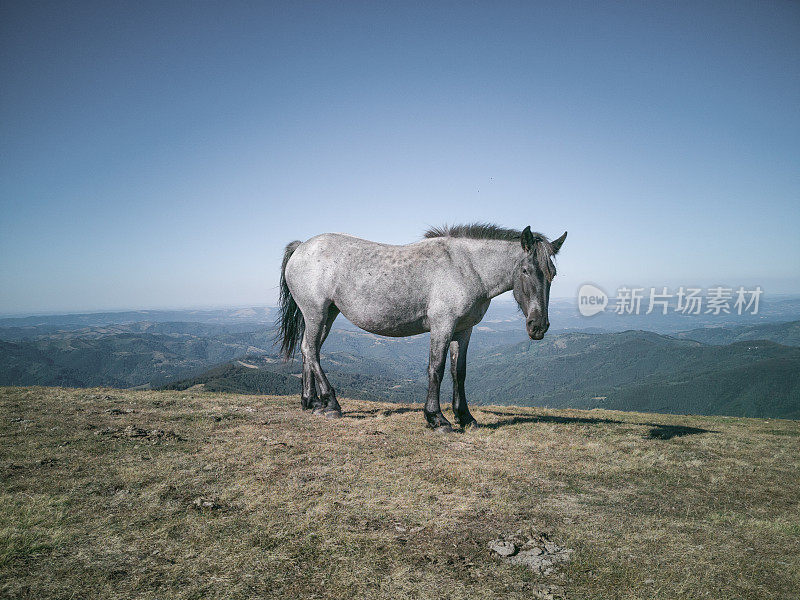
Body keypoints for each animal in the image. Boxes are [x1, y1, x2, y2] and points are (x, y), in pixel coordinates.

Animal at [278, 221, 564, 432]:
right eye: (526, 270)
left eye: (553, 273)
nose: (539, 326)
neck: (467, 266)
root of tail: (301, 247)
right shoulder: (442, 326)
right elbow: (436, 369)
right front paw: (437, 418)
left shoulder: (464, 330)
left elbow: (459, 372)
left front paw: (465, 417)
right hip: (316, 312)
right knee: (311, 351)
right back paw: (332, 404)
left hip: (328, 313)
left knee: (307, 350)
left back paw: (312, 402)